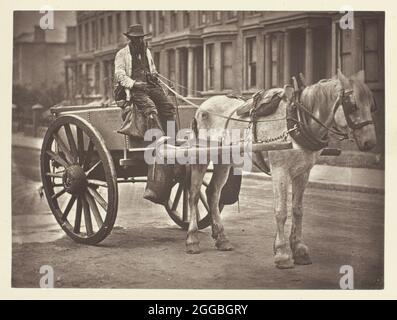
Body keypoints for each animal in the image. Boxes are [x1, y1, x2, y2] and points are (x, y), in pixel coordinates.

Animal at [184, 69, 376, 268]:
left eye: (372, 105)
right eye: (353, 105)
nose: (370, 143)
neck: (297, 121)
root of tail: (202, 106)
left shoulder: (303, 172)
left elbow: (297, 210)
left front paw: (298, 249)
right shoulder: (280, 170)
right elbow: (281, 211)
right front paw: (282, 253)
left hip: (223, 159)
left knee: (213, 193)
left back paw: (221, 238)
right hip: (200, 157)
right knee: (193, 195)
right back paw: (192, 239)